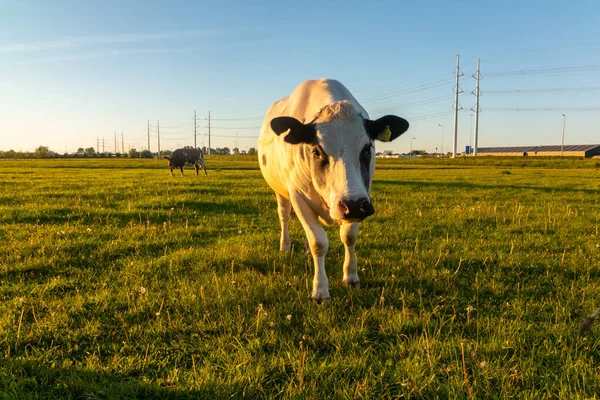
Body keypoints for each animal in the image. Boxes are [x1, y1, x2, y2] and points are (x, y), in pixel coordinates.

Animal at [258, 79, 408, 302]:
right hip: (280, 192)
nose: (352, 205)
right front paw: (320, 290)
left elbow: (348, 236)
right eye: (316, 151)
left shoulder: (362, 196)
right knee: (284, 217)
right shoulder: (297, 196)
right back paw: (285, 246)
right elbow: (319, 243)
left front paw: (351, 276)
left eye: (367, 149)